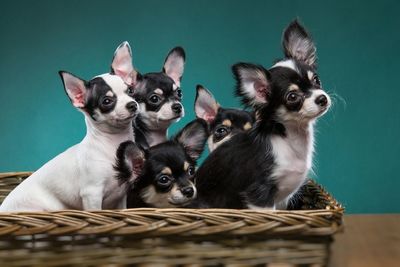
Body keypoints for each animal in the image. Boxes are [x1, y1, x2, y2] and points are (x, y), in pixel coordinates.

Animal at [0, 42, 140, 213]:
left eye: (131, 91)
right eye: (107, 101)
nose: (132, 104)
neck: (112, 144)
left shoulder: (121, 197)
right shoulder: (92, 194)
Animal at [191, 19, 332, 210]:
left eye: (316, 80)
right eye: (292, 97)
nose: (322, 98)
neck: (292, 140)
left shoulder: (283, 201)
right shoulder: (259, 195)